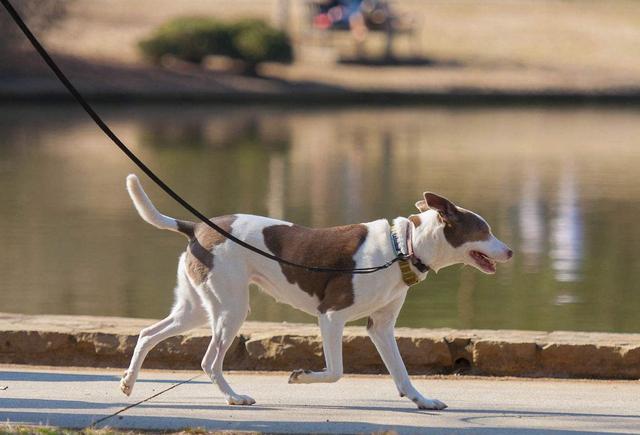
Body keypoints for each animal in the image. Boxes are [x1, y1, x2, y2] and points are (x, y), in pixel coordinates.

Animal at [120, 173, 512, 408]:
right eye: (484, 231)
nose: (509, 251)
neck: (402, 246)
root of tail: (196, 227)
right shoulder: (331, 317)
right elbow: (336, 371)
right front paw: (302, 375)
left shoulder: (381, 327)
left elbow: (401, 372)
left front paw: (422, 401)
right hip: (230, 310)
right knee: (207, 360)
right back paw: (234, 397)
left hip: (197, 308)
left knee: (148, 333)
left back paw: (127, 383)